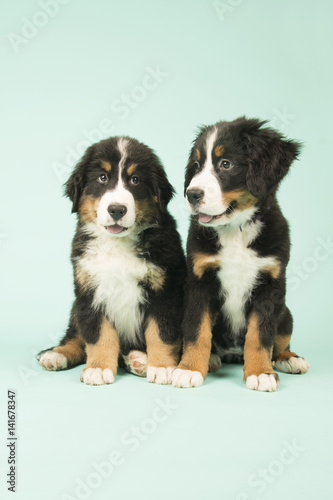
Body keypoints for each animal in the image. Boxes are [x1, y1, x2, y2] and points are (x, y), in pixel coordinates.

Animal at [38, 135, 187, 384]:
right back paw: (57, 354)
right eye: (102, 177)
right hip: (76, 308)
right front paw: (98, 367)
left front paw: (162, 366)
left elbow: (161, 332)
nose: (117, 209)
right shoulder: (89, 291)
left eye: (135, 180)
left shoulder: (165, 290)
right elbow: (98, 335)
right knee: (75, 335)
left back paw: (140, 360)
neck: (117, 243)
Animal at [171, 116, 308, 390]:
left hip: (286, 312)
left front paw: (260, 372)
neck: (235, 230)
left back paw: (289, 358)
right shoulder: (200, 282)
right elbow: (196, 330)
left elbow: (261, 336)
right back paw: (212, 359)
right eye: (196, 165)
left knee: (281, 340)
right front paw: (189, 369)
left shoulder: (270, 285)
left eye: (226, 164)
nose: (192, 194)